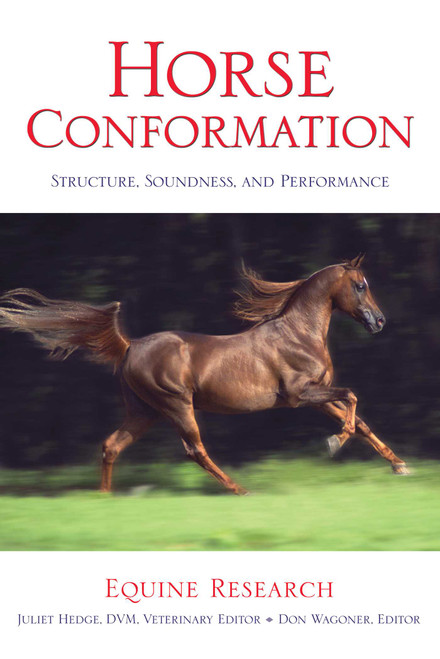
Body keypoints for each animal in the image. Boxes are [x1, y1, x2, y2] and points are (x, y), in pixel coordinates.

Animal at [0, 255, 409, 494]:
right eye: (360, 285)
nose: (380, 321)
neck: (299, 334)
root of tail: (129, 345)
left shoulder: (317, 395)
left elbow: (360, 420)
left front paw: (399, 465)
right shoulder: (300, 395)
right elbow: (352, 398)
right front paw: (333, 443)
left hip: (144, 411)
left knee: (111, 445)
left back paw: (105, 498)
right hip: (177, 405)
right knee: (194, 449)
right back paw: (240, 489)